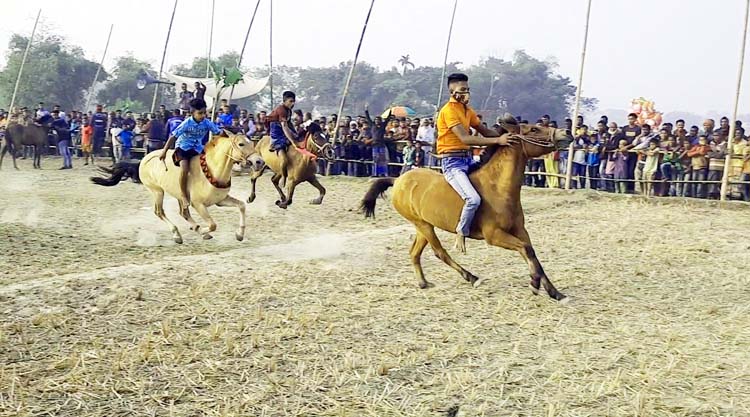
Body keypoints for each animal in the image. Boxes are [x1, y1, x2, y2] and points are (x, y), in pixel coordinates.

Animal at [362, 122, 572, 300]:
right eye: (534, 129)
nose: (567, 132)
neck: (498, 188)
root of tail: (398, 180)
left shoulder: (519, 230)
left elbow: (531, 253)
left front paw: (555, 292)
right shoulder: (493, 235)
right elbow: (526, 249)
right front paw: (534, 283)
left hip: (423, 225)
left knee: (414, 253)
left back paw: (423, 282)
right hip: (423, 225)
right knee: (440, 252)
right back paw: (472, 277)